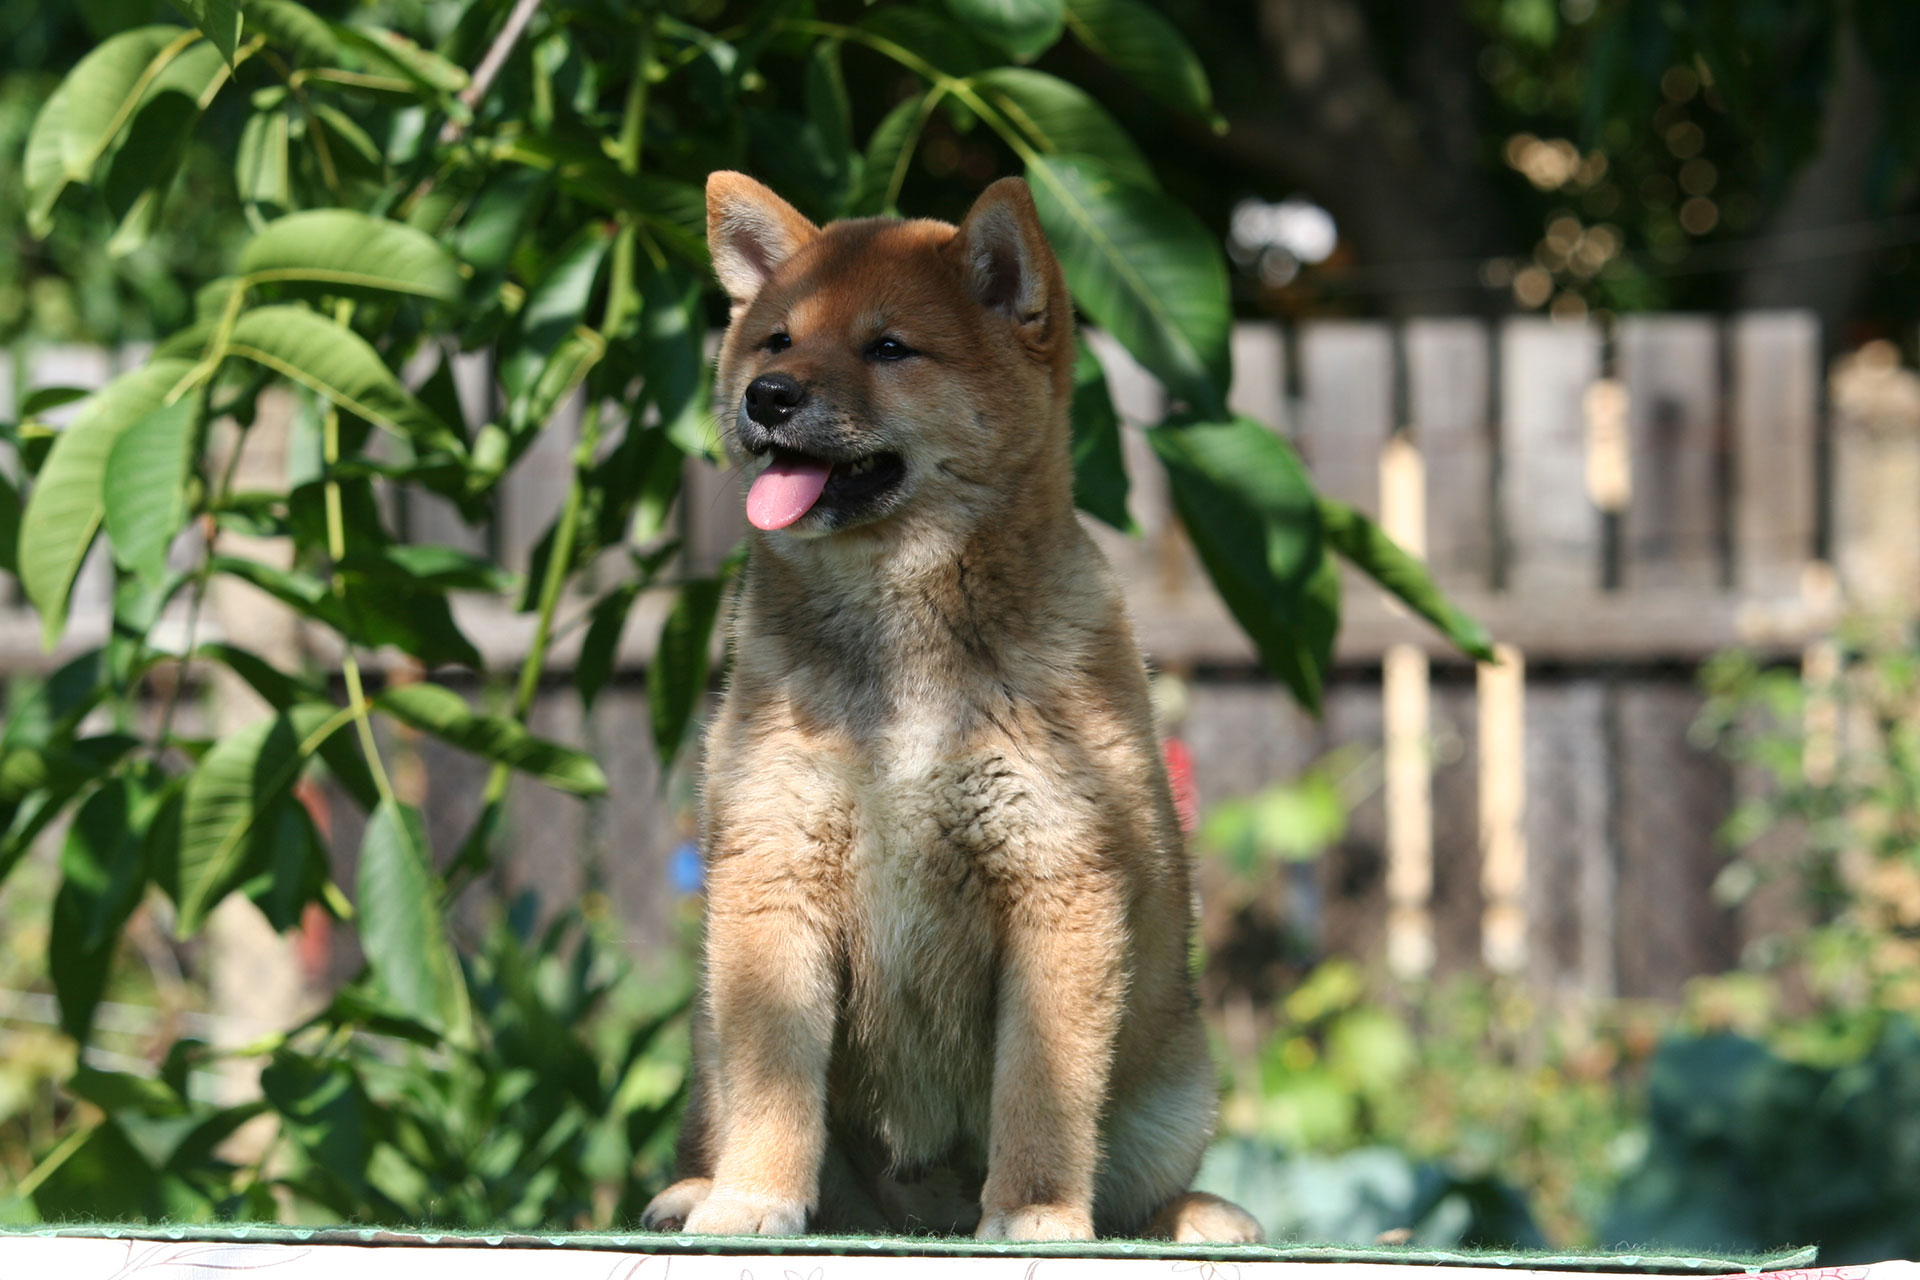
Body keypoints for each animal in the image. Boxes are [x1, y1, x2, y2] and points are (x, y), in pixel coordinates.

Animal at [645, 175, 1259, 1243]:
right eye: (776, 342)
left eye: (890, 347)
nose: (769, 397)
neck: (902, 659)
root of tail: (915, 1214)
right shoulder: (773, 872)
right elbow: (776, 1084)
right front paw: (752, 1198)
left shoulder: (1058, 881)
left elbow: (1042, 1093)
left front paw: (1037, 1213)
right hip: (707, 1022)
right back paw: (695, 1189)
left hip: (1174, 1089)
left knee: (1140, 1190)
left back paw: (1194, 1214)